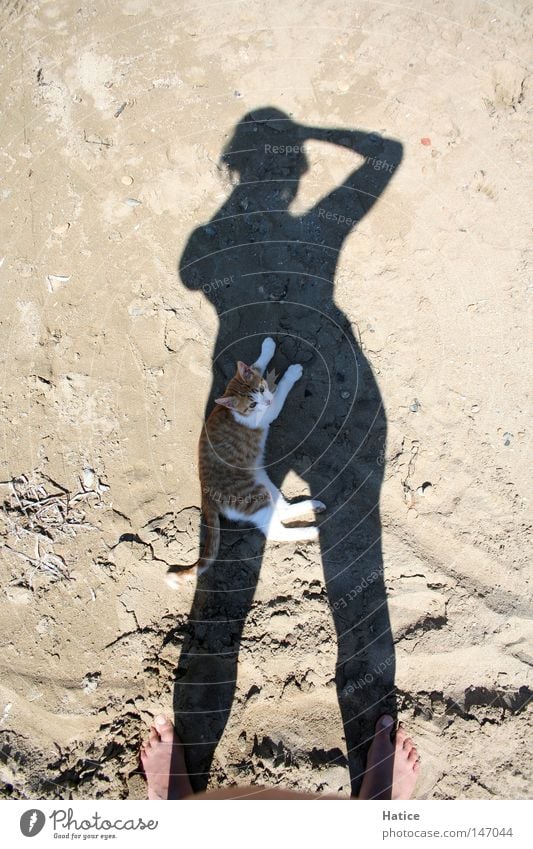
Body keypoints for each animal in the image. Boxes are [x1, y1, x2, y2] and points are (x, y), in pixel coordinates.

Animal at [166, 334, 324, 588]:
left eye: (261, 388)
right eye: (252, 404)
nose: (265, 401)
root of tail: (205, 495)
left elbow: (257, 365)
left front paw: (267, 347)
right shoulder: (269, 413)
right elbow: (281, 392)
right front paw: (291, 373)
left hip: (264, 484)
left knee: (283, 509)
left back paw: (313, 506)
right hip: (253, 496)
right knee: (275, 530)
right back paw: (311, 531)